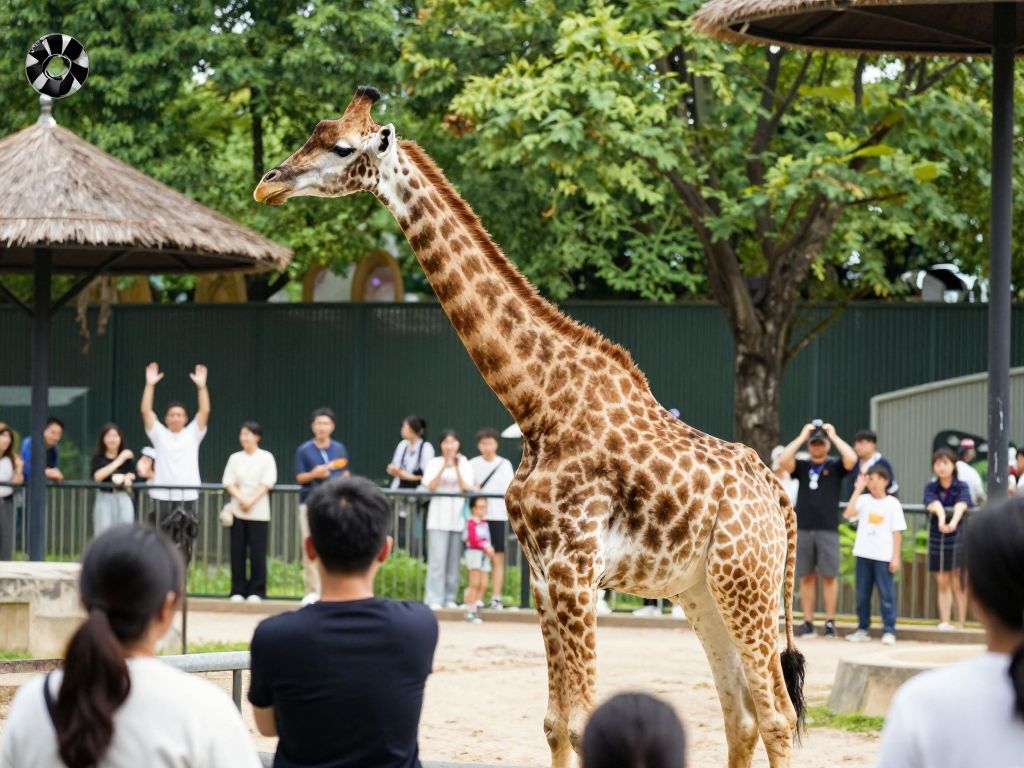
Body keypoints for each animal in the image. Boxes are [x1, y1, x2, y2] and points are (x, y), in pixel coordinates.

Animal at [254, 85, 806, 768]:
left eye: (339, 146)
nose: (268, 184)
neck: (536, 402)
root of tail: (778, 494)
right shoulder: (544, 573)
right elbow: (554, 723)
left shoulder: (576, 567)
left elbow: (583, 721)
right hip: (701, 590)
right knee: (742, 716)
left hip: (745, 582)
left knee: (778, 716)